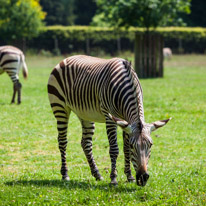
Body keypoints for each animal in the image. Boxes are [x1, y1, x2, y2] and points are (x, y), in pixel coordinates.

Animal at [48, 55, 171, 187]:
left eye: (151, 144)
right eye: (133, 146)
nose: (143, 178)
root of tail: (67, 58)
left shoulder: (126, 121)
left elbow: (125, 150)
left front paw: (129, 177)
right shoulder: (110, 118)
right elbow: (114, 149)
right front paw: (113, 178)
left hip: (85, 114)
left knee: (86, 143)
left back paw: (97, 174)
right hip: (60, 107)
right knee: (62, 141)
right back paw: (65, 174)